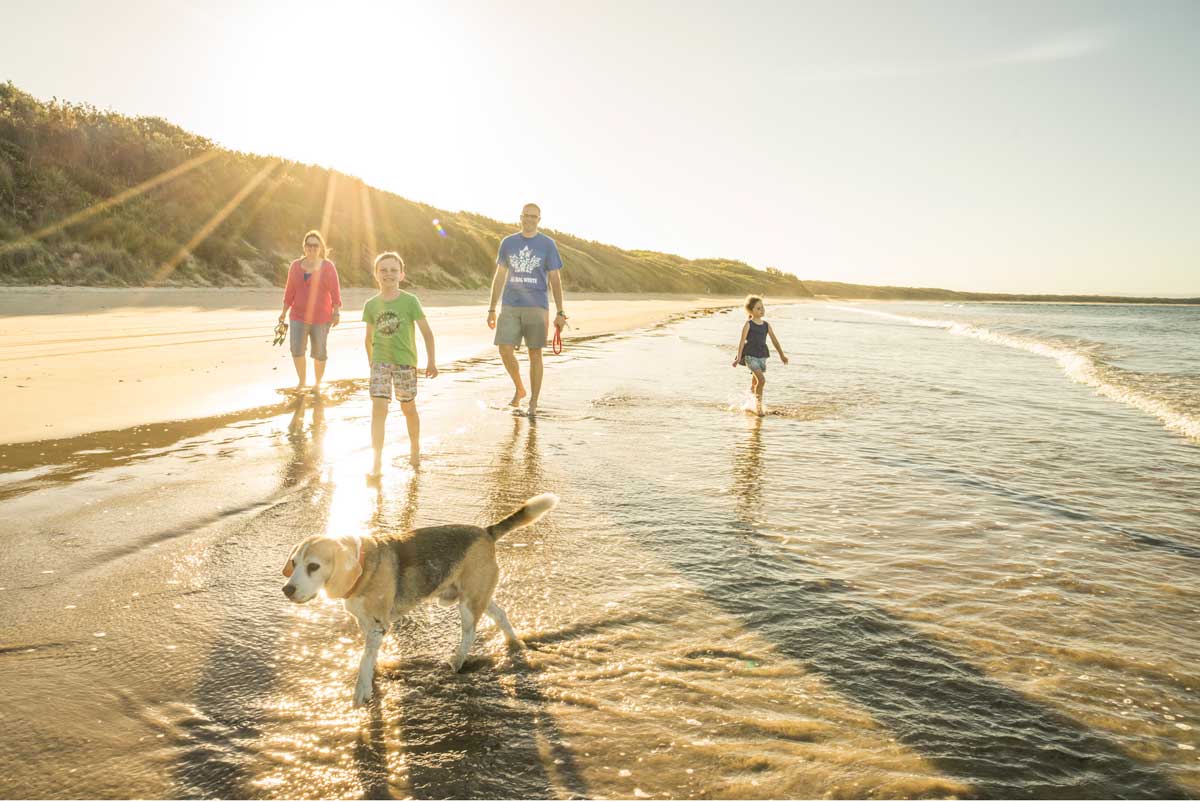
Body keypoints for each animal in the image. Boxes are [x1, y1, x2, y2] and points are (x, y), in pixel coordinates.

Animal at [283, 492, 559, 705]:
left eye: (314, 566)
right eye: (294, 563)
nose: (287, 590)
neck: (363, 567)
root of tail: (486, 532)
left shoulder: (378, 625)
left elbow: (363, 660)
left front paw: (361, 691)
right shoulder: (365, 623)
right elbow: (369, 656)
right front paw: (372, 676)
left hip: (468, 604)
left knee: (469, 634)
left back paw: (457, 661)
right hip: (478, 595)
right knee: (501, 615)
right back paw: (514, 643)